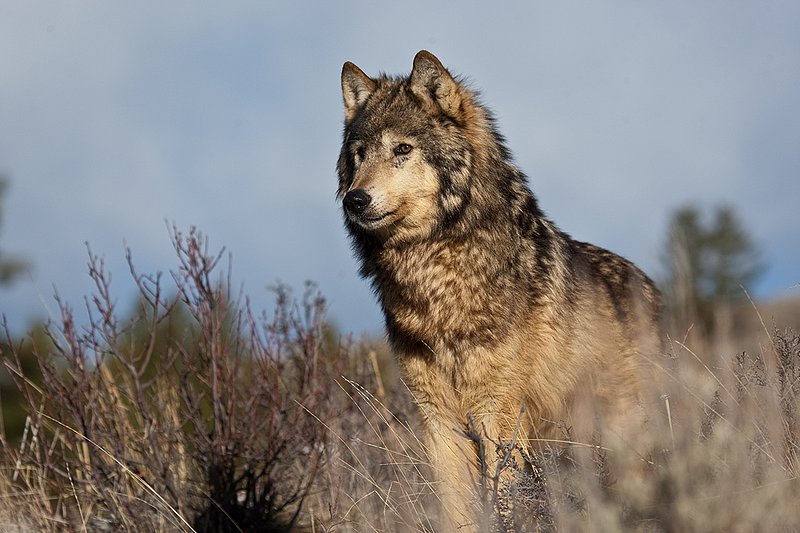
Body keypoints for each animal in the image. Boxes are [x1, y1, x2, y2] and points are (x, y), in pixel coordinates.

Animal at [337, 51, 662, 530]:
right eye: (359, 156)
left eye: (402, 150)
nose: (354, 200)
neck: (437, 278)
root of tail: (650, 287)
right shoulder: (438, 419)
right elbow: (456, 508)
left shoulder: (499, 411)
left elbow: (507, 498)